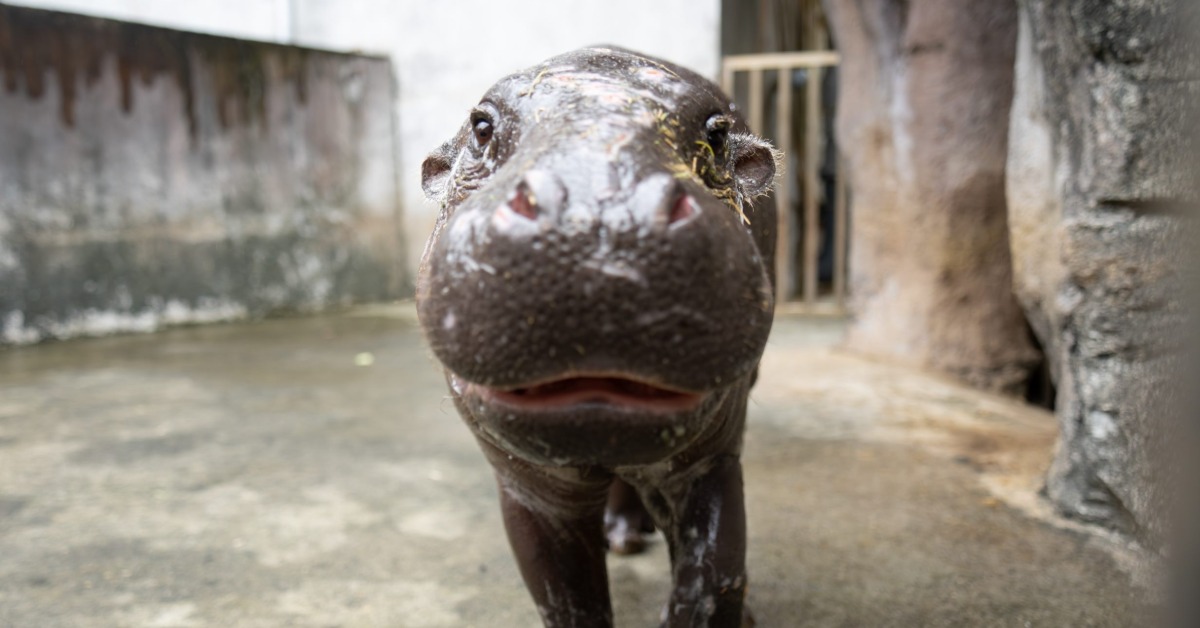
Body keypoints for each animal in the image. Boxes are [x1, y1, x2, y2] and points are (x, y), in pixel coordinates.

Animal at [417, 46, 782, 624]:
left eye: (718, 133)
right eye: (481, 126)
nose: (602, 215)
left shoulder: (710, 457)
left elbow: (713, 574)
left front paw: (737, 612)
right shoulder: (529, 488)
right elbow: (564, 596)